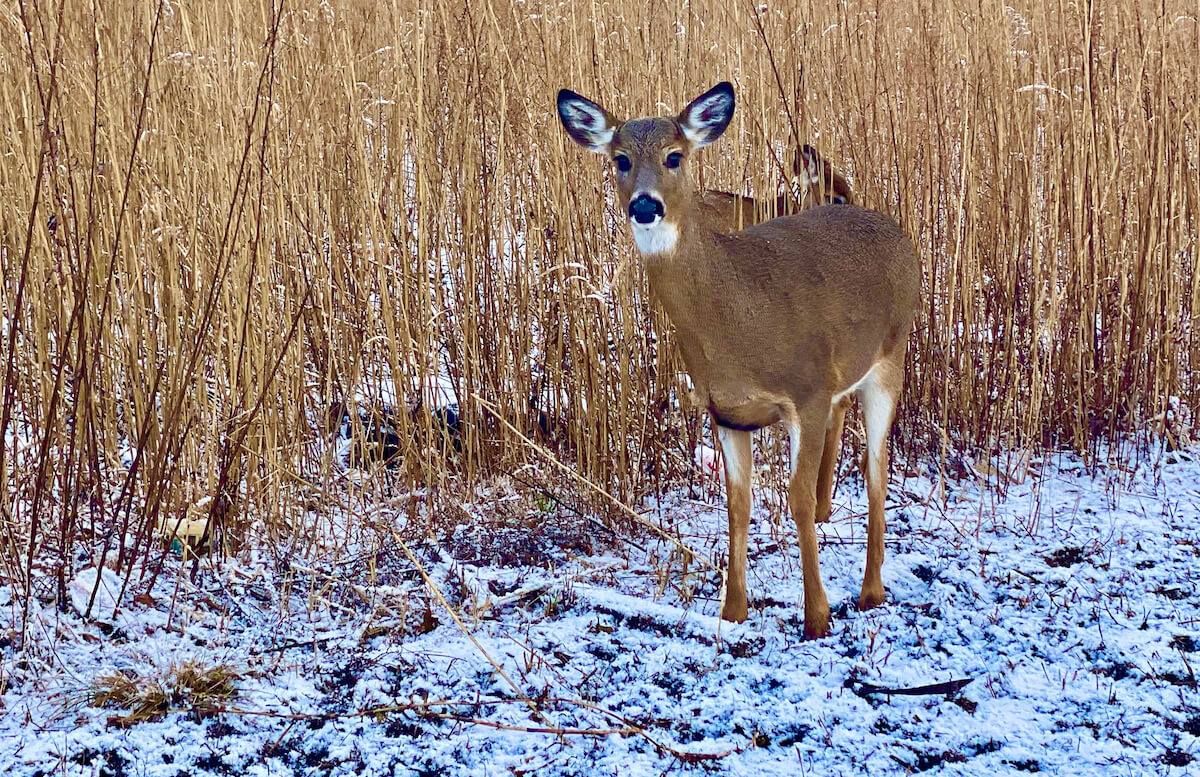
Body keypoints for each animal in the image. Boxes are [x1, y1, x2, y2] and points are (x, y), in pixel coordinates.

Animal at [556, 80, 921, 637]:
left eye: (675, 155)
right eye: (620, 159)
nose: (645, 205)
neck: (739, 317)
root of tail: (893, 228)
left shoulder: (808, 392)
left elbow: (794, 499)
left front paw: (817, 616)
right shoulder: (726, 412)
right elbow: (738, 505)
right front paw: (733, 612)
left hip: (890, 358)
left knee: (876, 467)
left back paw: (871, 592)